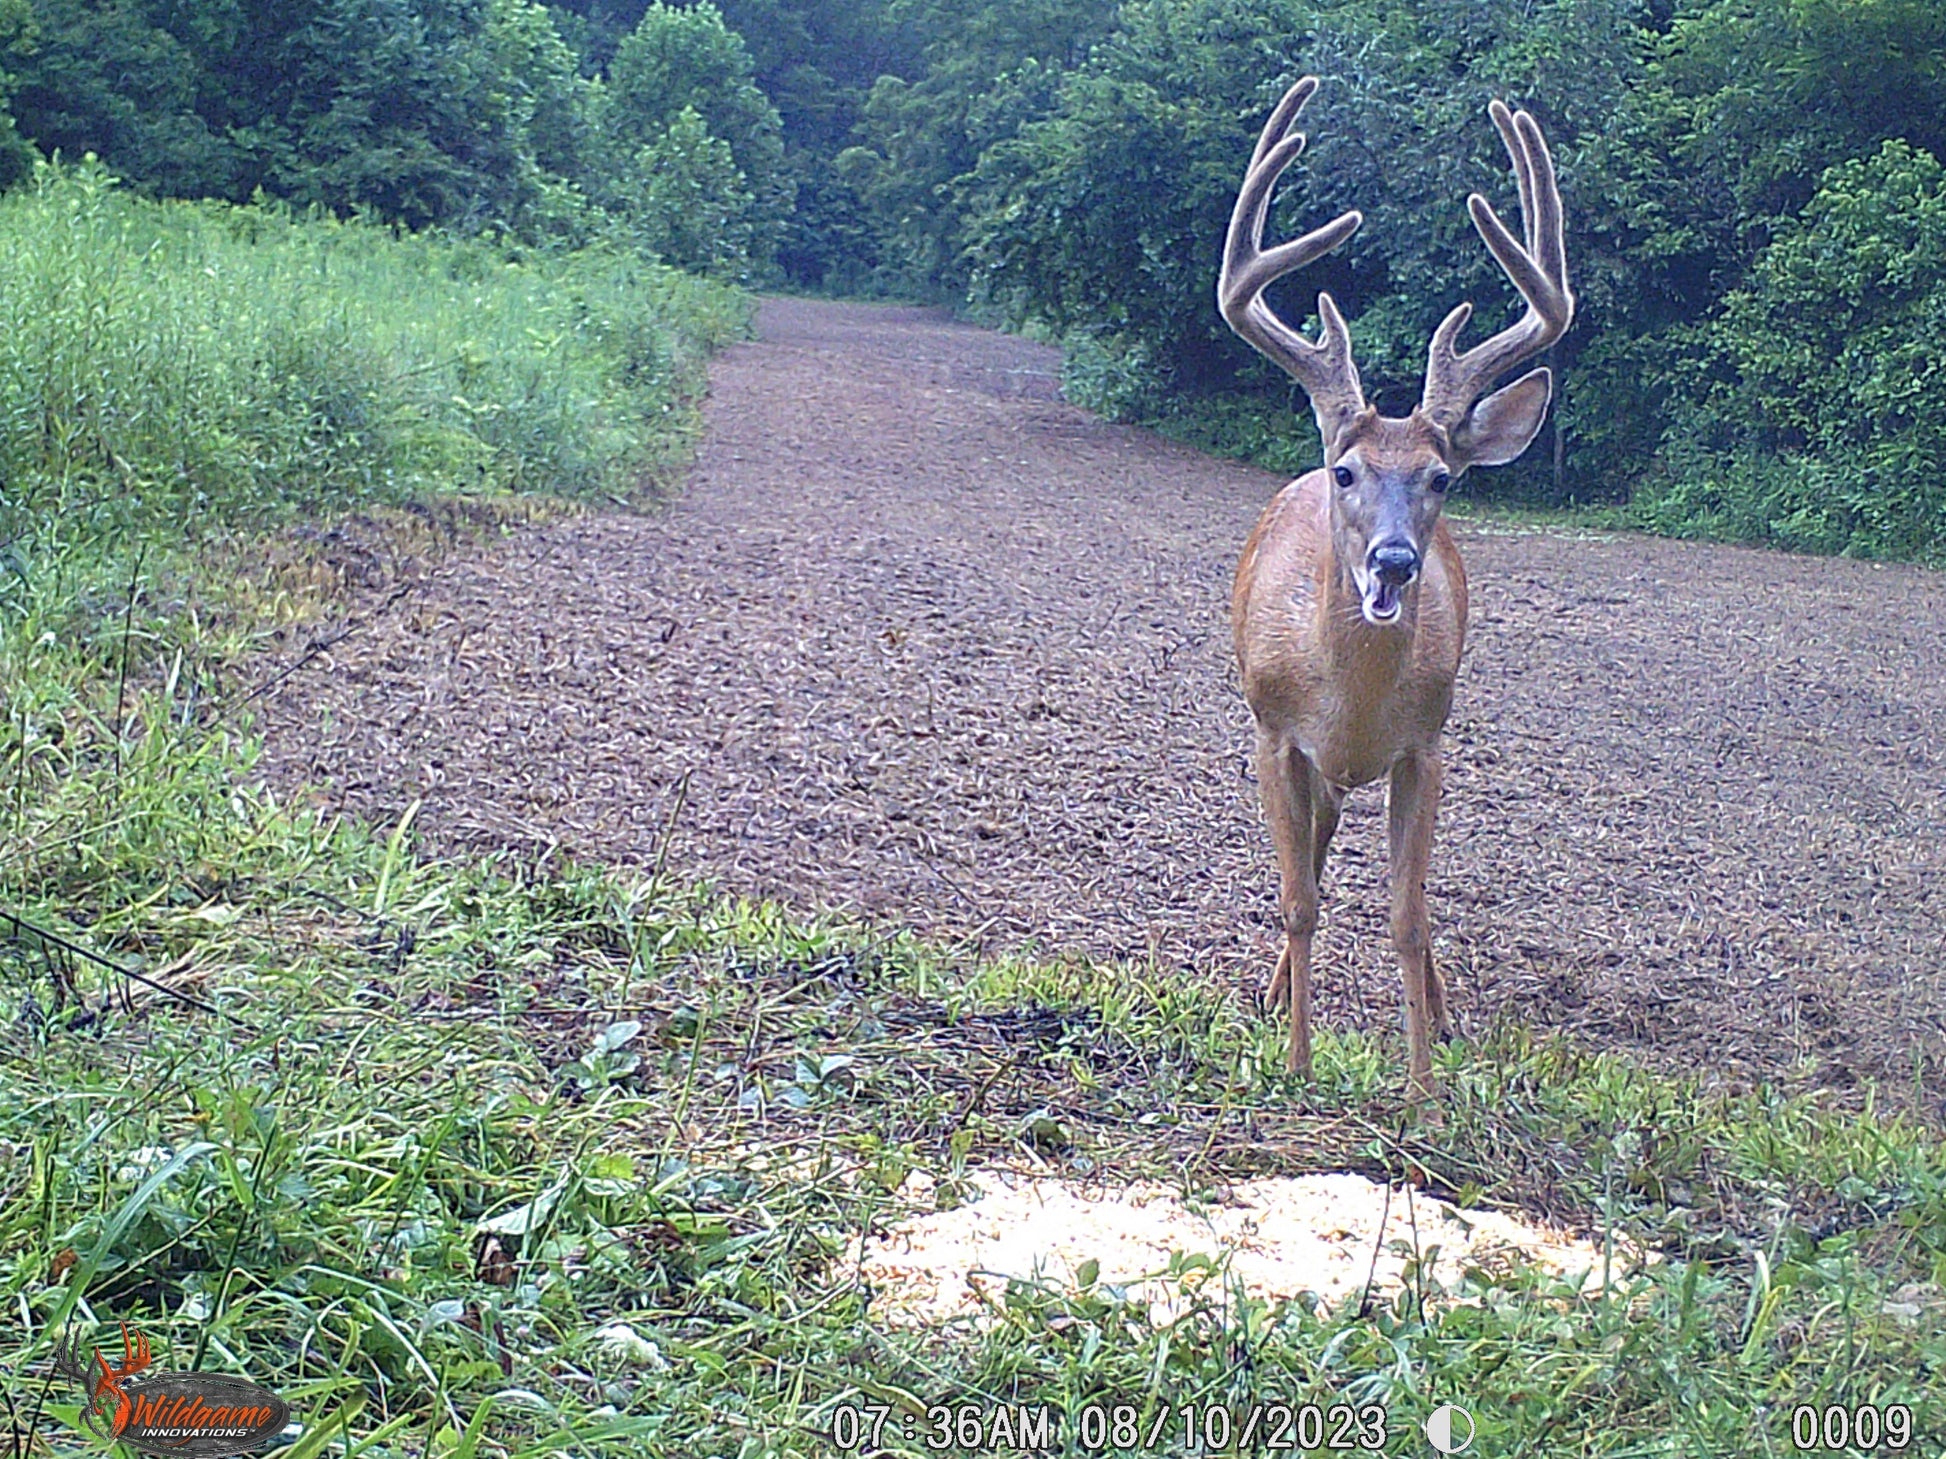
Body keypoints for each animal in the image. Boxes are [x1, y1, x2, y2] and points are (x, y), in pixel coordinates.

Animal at [1217, 76, 1572, 1099]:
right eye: (1346, 470)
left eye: (1441, 477)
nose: (1393, 561)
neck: (1351, 704)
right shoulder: (1274, 732)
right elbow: (1299, 899)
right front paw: (1296, 1062)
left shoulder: (1426, 746)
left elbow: (1409, 915)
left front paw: (1421, 1090)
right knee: (1313, 858)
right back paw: (1271, 997)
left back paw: (1442, 1017)